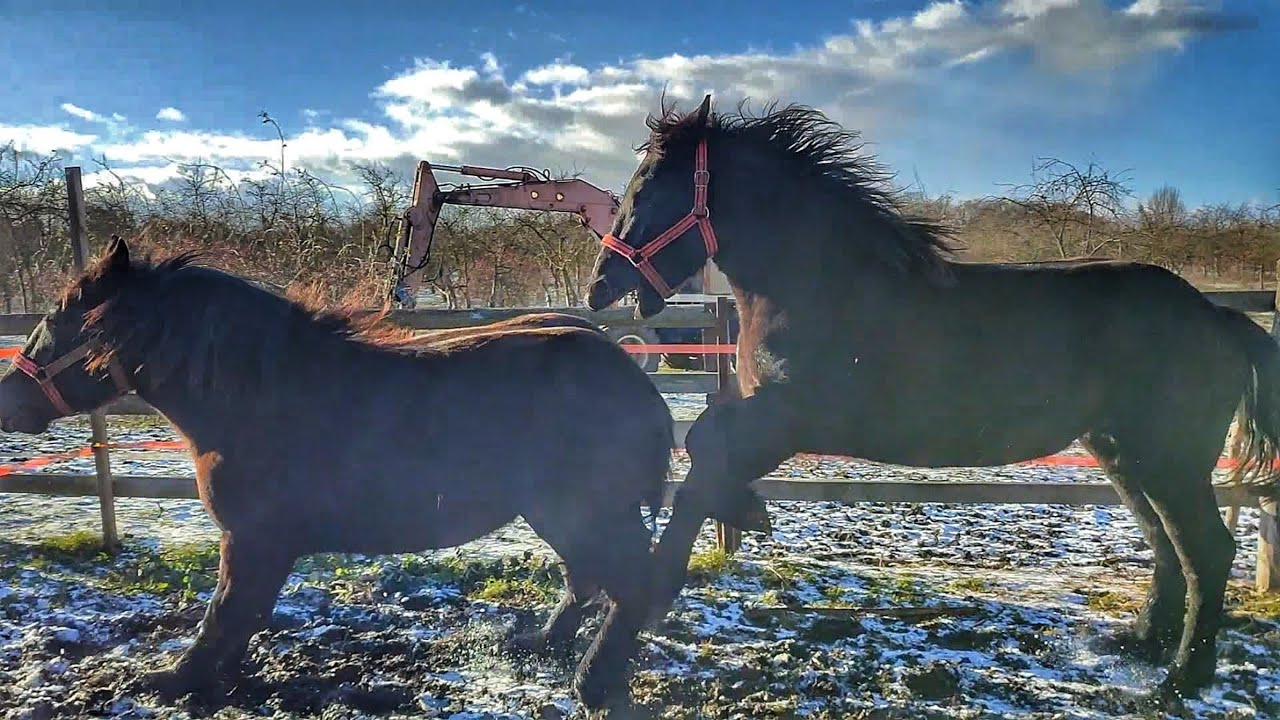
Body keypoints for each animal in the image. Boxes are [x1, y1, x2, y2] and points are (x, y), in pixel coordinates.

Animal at [0, 236, 672, 711]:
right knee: (589, 579)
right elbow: (246, 613)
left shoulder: (252, 537)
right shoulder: (265, 543)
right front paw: (219, 679)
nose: (8, 402)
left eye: (57, 323)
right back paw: (540, 645)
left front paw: (177, 680)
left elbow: (226, 611)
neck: (258, 395)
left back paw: (592, 682)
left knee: (631, 583)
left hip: (582, 511)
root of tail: (633, 378)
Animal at [584, 95, 1280, 700]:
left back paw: (1181, 681)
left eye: (648, 189)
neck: (822, 285)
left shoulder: (787, 419)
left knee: (1207, 552)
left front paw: (607, 655)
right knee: (1167, 546)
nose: (599, 286)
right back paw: (1141, 644)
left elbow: (703, 463)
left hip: (1167, 461)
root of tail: (1217, 317)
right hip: (1122, 455)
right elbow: (705, 455)